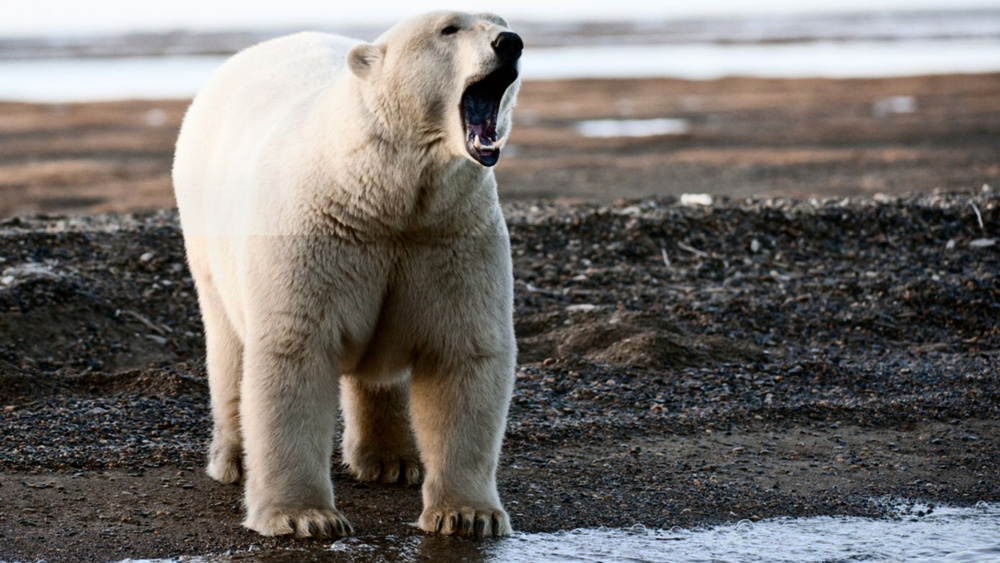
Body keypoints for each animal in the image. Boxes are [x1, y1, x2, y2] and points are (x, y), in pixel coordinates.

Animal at [171, 11, 520, 540]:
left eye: (500, 20)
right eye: (449, 28)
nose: (510, 42)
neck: (385, 194)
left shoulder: (448, 235)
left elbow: (465, 351)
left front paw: (467, 514)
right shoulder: (317, 236)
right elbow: (294, 350)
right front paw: (303, 517)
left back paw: (392, 460)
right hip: (207, 237)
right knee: (229, 346)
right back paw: (233, 458)